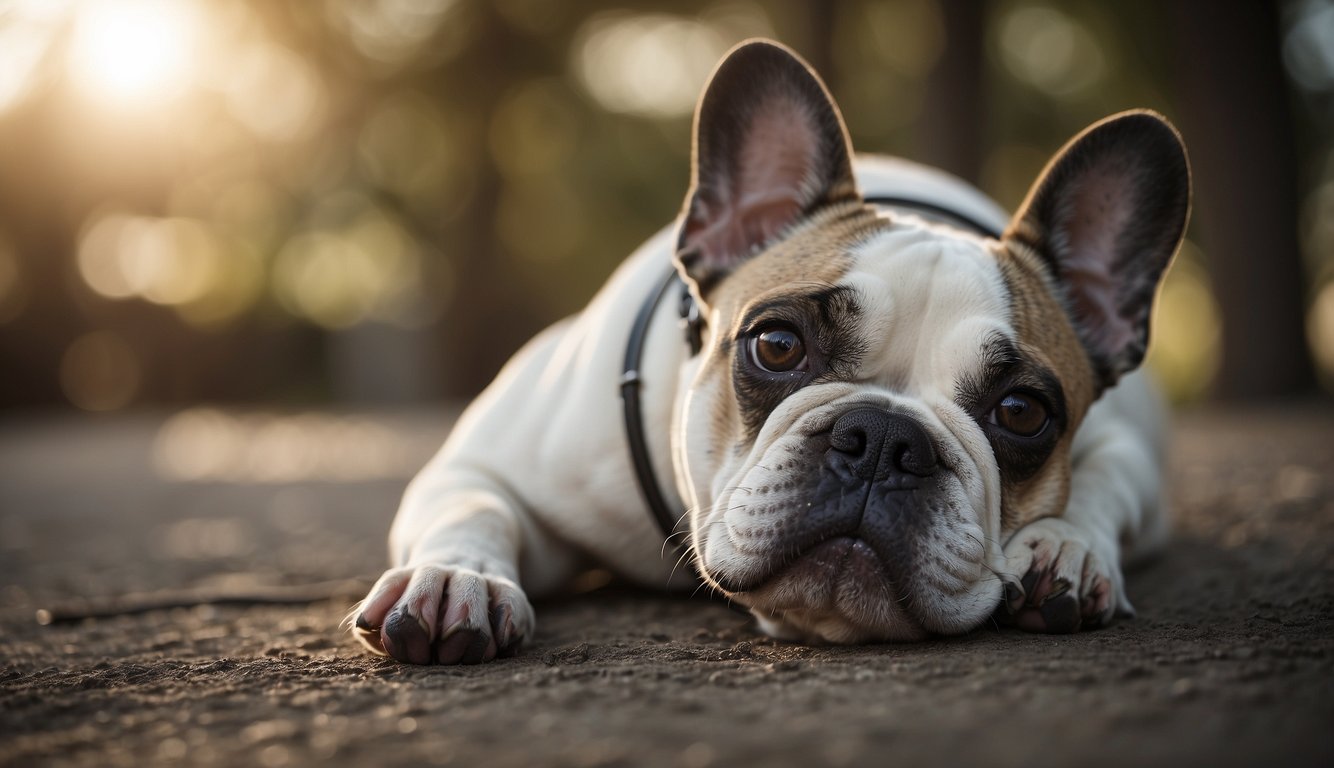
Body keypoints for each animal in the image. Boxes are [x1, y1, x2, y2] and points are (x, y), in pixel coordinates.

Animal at [346, 37, 1189, 666]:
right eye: (777, 345)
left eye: (1020, 412)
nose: (885, 438)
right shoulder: (486, 462)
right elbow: (474, 503)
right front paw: (456, 577)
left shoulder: (1127, 446)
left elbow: (1104, 484)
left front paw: (1065, 548)